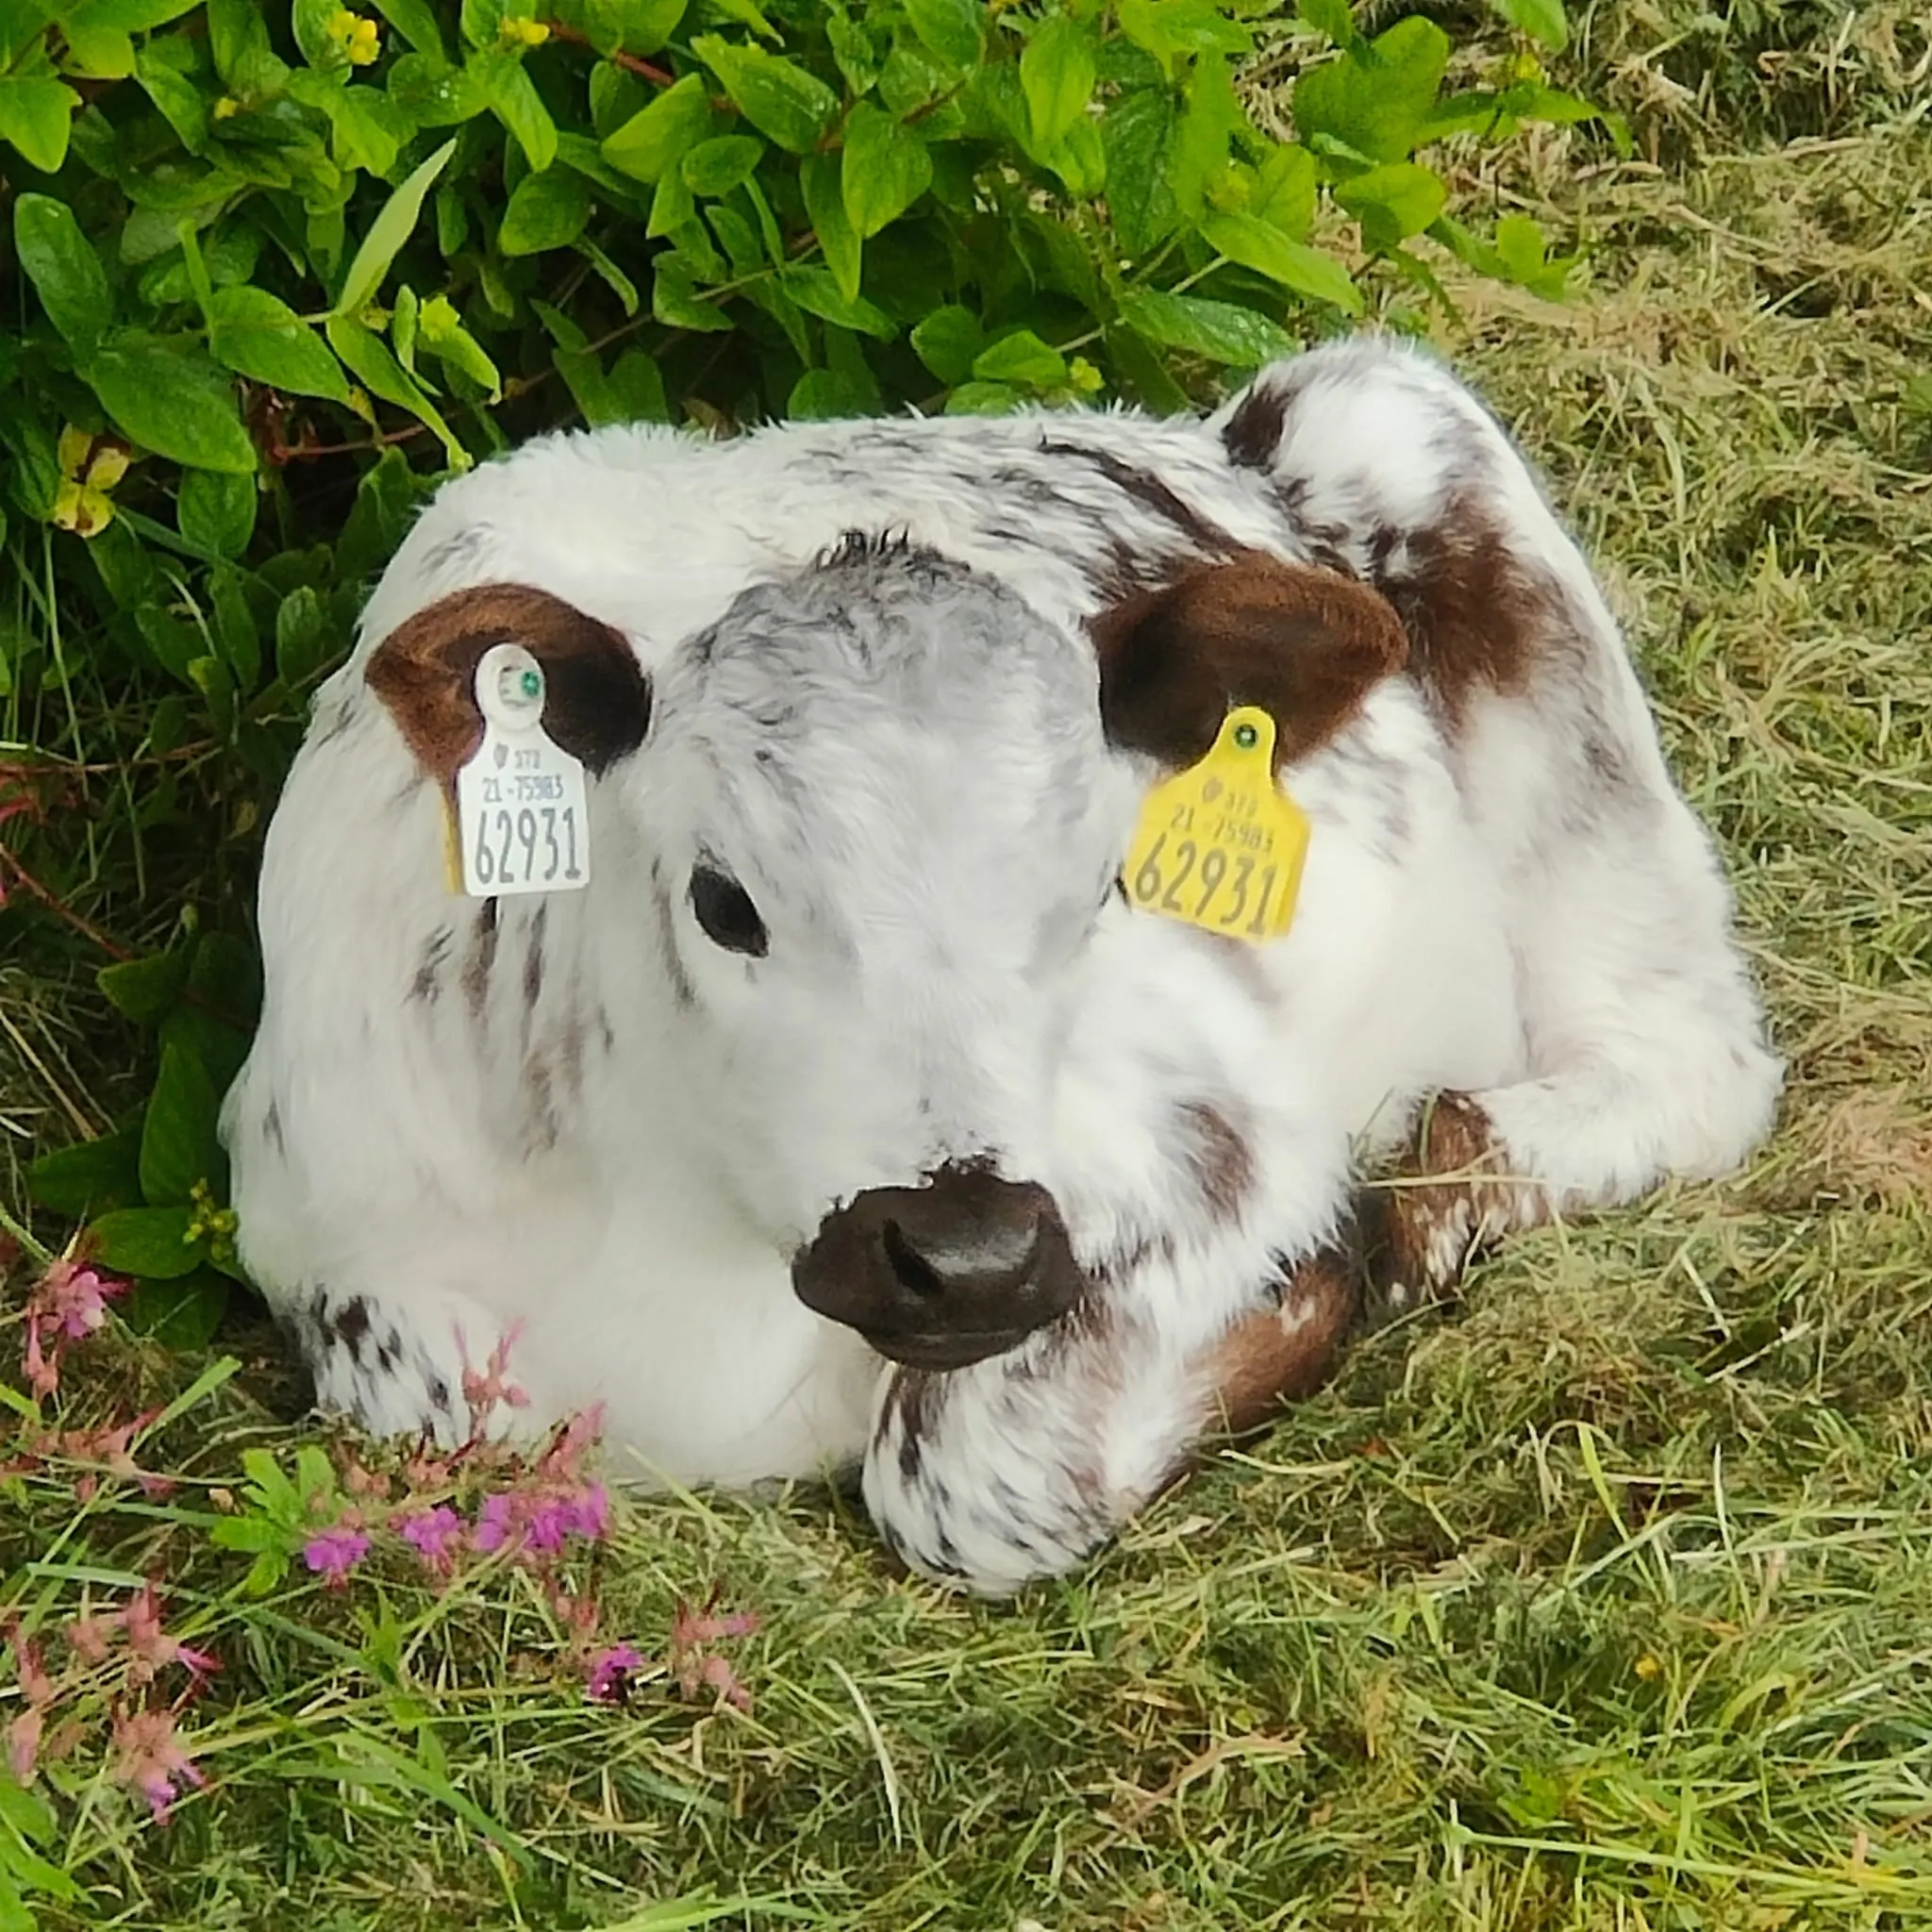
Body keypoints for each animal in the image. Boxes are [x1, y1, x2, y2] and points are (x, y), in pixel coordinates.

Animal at [221, 335, 1782, 1595]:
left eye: (1102, 886)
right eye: (723, 899)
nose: (967, 1257)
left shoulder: (1209, 1141)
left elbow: (972, 1484)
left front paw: (1320, 1278)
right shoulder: (317, 1231)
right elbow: (430, 1403)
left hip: (1430, 473)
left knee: (1688, 1054)